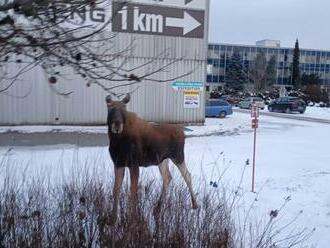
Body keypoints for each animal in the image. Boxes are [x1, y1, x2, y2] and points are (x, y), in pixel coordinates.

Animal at [107, 94, 197, 222]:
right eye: (109, 108)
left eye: (124, 108)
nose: (117, 124)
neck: (117, 141)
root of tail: (183, 133)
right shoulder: (118, 163)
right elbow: (116, 189)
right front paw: (113, 218)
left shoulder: (134, 164)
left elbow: (133, 190)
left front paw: (133, 217)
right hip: (162, 160)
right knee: (167, 177)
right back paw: (158, 208)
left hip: (178, 156)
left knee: (187, 175)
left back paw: (194, 204)